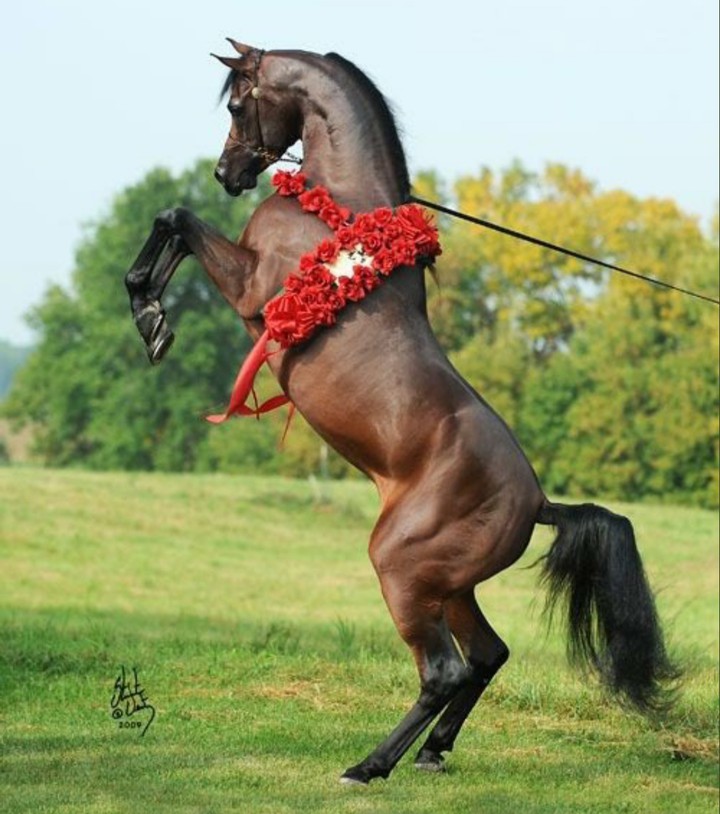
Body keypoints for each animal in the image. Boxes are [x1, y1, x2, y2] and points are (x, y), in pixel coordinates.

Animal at [124, 42, 677, 785]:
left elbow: (177, 219)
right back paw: (433, 753)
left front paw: (148, 314)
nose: (228, 173)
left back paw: (369, 766)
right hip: (451, 586)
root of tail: (538, 502)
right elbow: (175, 225)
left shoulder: (249, 288)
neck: (338, 208)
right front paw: (152, 318)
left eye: (238, 104)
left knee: (444, 671)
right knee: (487, 656)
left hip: (403, 570)